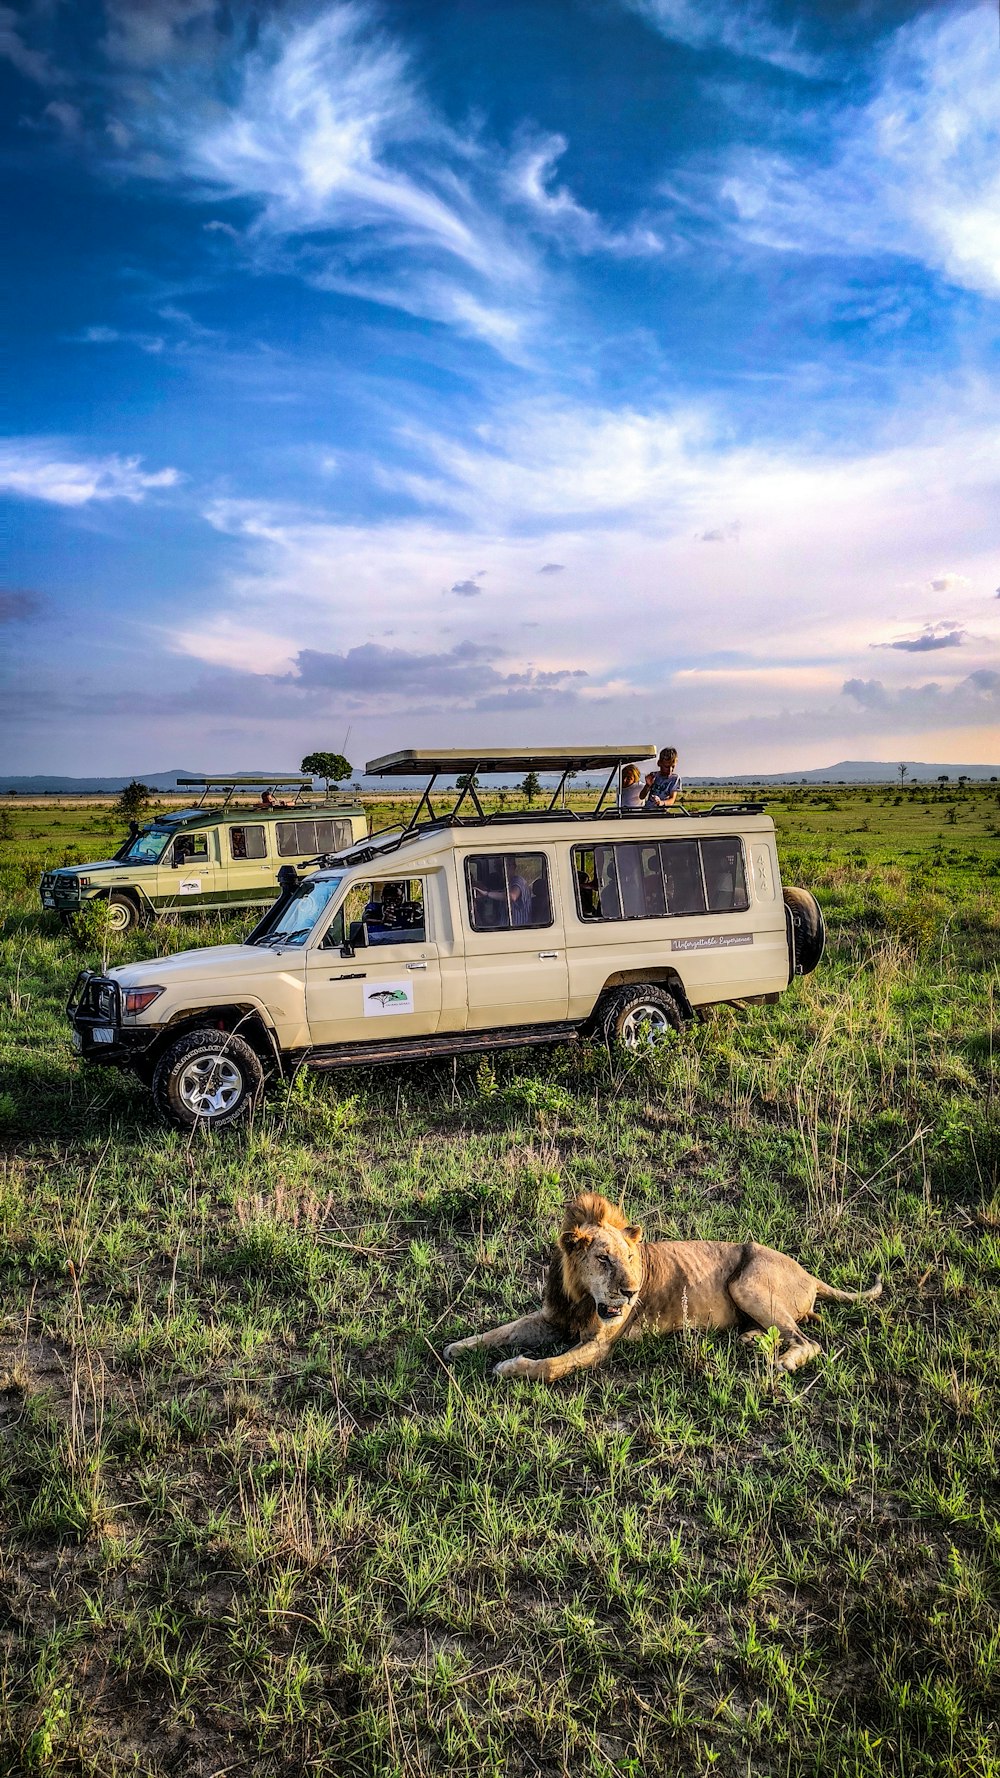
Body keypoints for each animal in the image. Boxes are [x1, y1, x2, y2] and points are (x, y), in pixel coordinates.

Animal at [439, 1187, 875, 1379]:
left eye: (631, 1258)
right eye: (603, 1259)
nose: (631, 1292)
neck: (581, 1297)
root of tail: (811, 1274)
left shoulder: (598, 1346)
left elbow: (546, 1366)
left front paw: (509, 1366)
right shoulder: (551, 1318)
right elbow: (500, 1330)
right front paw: (458, 1346)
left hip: (746, 1282)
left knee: (807, 1341)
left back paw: (782, 1360)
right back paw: (753, 1339)